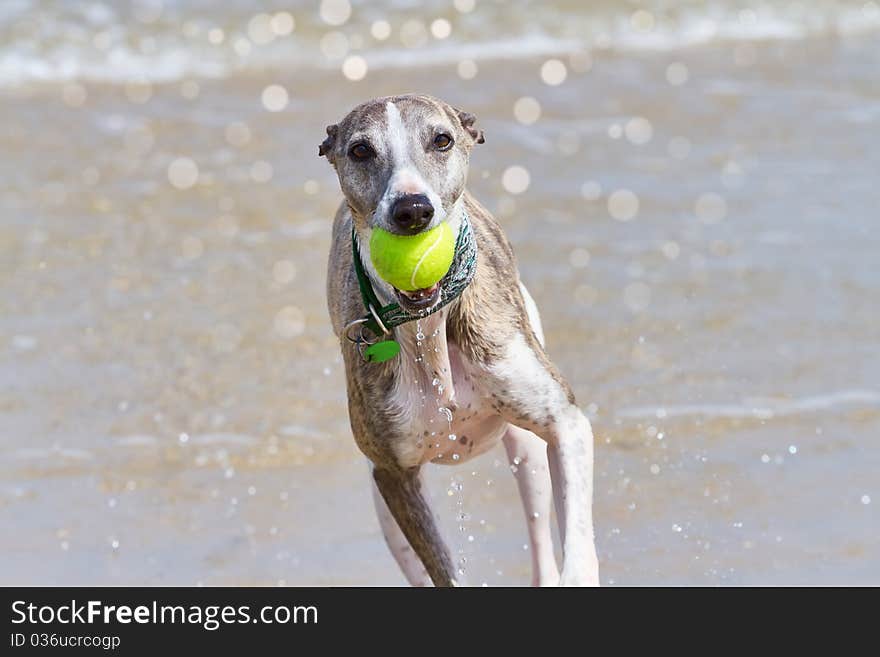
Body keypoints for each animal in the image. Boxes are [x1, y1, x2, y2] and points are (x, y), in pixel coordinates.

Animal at [322, 95, 600, 588]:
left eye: (441, 139)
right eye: (360, 150)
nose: (412, 209)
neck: (428, 327)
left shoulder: (565, 422)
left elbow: (578, 547)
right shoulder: (393, 474)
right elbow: (443, 570)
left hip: (527, 448)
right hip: (384, 503)